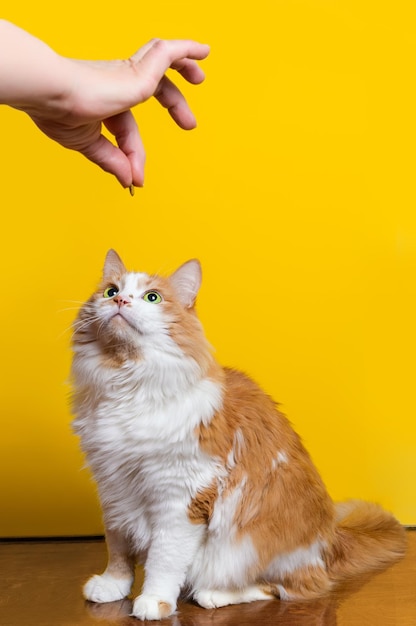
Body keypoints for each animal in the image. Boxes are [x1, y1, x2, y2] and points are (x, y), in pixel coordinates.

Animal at [70, 249, 406, 620]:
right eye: (111, 291)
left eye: (152, 297)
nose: (121, 301)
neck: (127, 384)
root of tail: (332, 539)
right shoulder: (113, 488)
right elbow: (118, 547)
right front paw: (112, 586)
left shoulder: (181, 496)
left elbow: (164, 558)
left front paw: (154, 601)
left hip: (250, 550)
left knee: (286, 588)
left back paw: (213, 594)